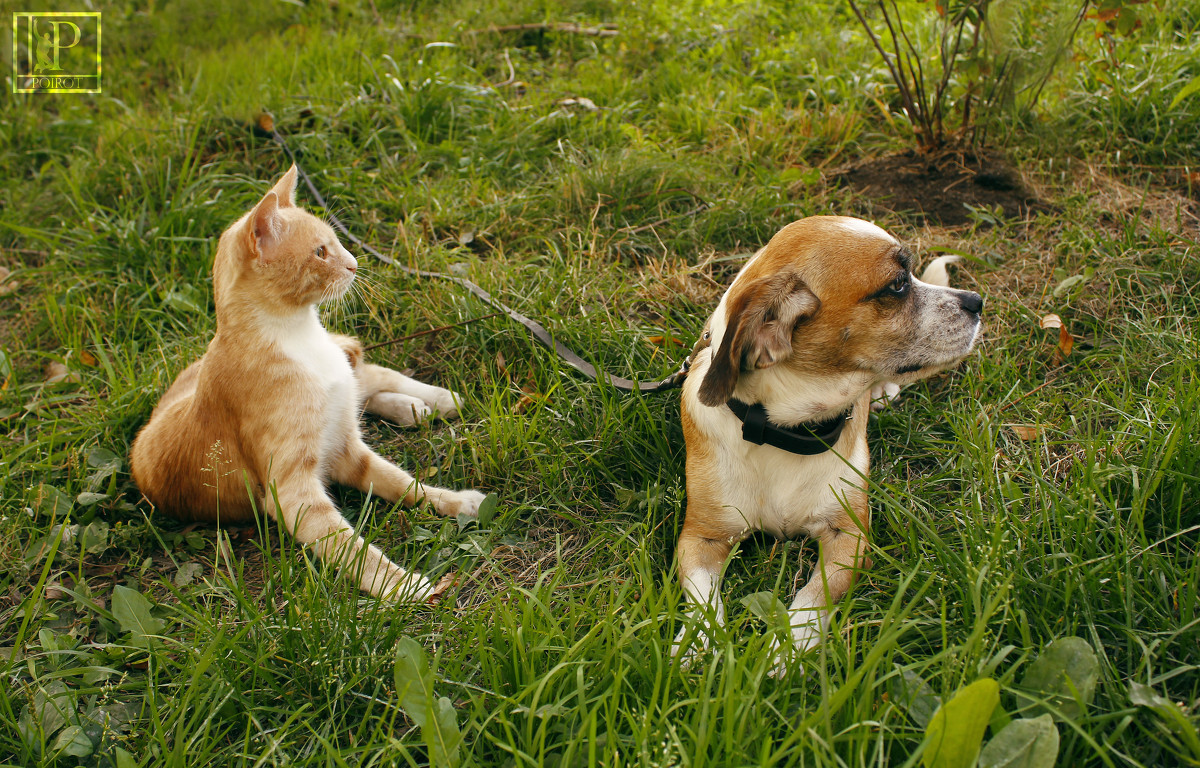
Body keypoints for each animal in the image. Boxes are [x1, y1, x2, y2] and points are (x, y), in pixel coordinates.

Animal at [132, 166, 487, 600]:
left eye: (335, 243)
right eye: (320, 252)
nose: (355, 264)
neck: (299, 335)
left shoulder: (349, 450)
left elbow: (403, 482)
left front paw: (455, 501)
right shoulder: (295, 494)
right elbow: (353, 548)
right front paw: (402, 586)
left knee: (368, 374)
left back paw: (436, 399)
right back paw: (414, 409)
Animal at [676, 216, 984, 672]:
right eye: (897, 285)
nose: (976, 301)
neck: (785, 433)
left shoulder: (849, 537)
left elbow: (813, 595)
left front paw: (785, 647)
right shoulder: (700, 538)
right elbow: (703, 602)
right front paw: (698, 645)